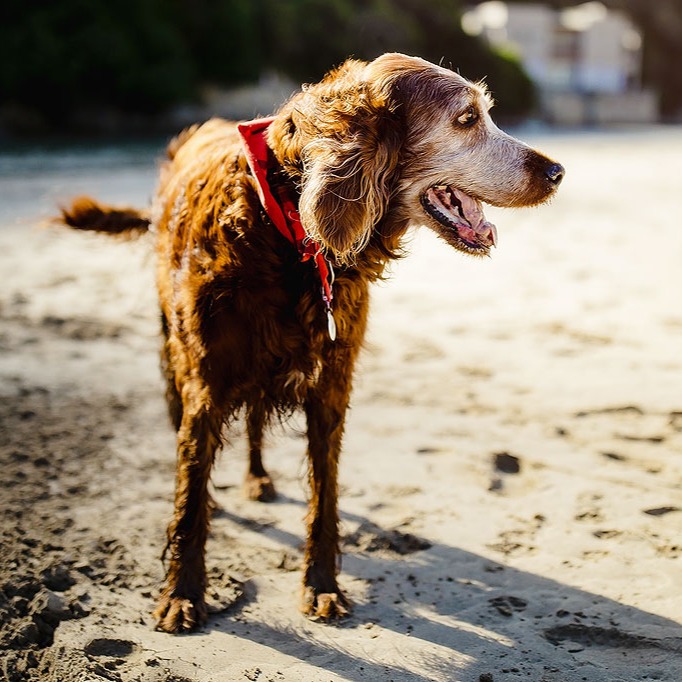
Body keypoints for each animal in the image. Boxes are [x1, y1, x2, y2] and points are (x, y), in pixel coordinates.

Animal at [58, 50, 560, 628]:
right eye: (466, 118)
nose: (557, 172)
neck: (284, 226)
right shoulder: (205, 386)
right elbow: (189, 500)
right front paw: (182, 593)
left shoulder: (330, 389)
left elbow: (325, 499)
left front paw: (321, 584)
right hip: (172, 355)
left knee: (254, 421)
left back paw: (257, 477)